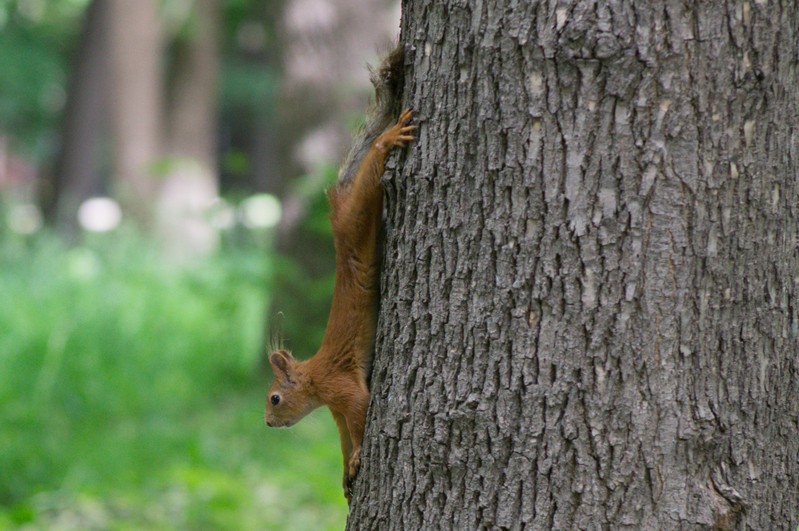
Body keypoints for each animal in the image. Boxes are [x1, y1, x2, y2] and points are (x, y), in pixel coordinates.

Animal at [266, 45, 416, 502]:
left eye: (274, 398)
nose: (267, 423)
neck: (315, 379)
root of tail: (337, 215)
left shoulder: (341, 388)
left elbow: (361, 417)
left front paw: (358, 458)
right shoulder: (334, 408)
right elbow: (343, 436)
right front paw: (345, 474)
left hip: (359, 213)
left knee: (370, 175)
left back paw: (389, 139)